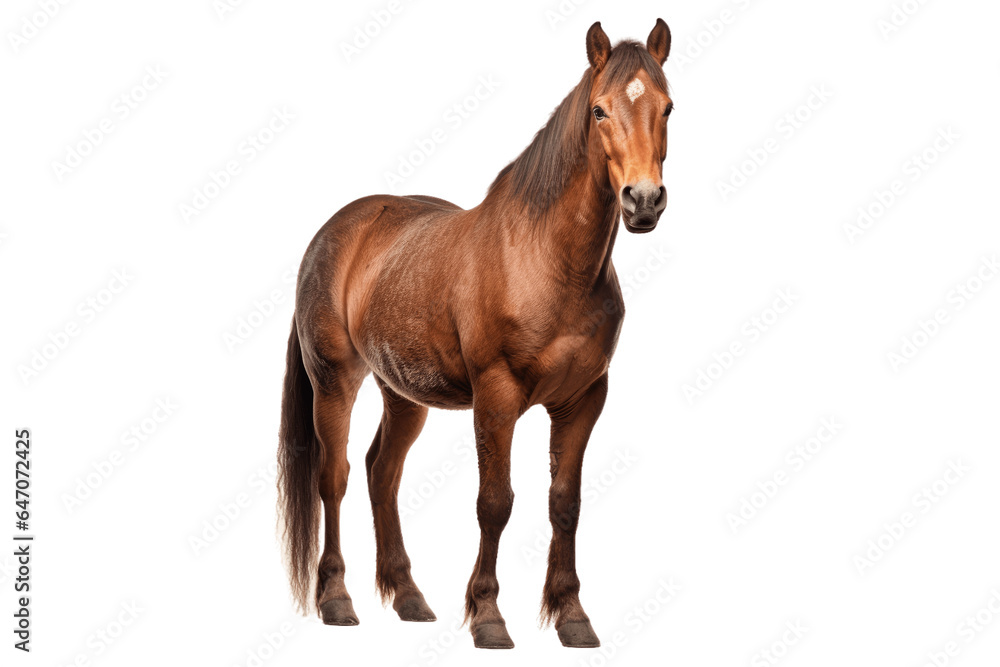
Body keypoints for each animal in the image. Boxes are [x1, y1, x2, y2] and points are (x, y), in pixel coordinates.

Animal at [278, 19, 673, 649]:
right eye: (600, 110)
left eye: (667, 107)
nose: (643, 201)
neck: (544, 259)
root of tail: (334, 232)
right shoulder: (496, 397)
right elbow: (495, 503)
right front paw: (488, 616)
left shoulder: (584, 400)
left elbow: (565, 503)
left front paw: (572, 616)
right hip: (335, 382)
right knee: (333, 478)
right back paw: (337, 600)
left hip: (403, 393)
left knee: (381, 472)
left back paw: (410, 597)